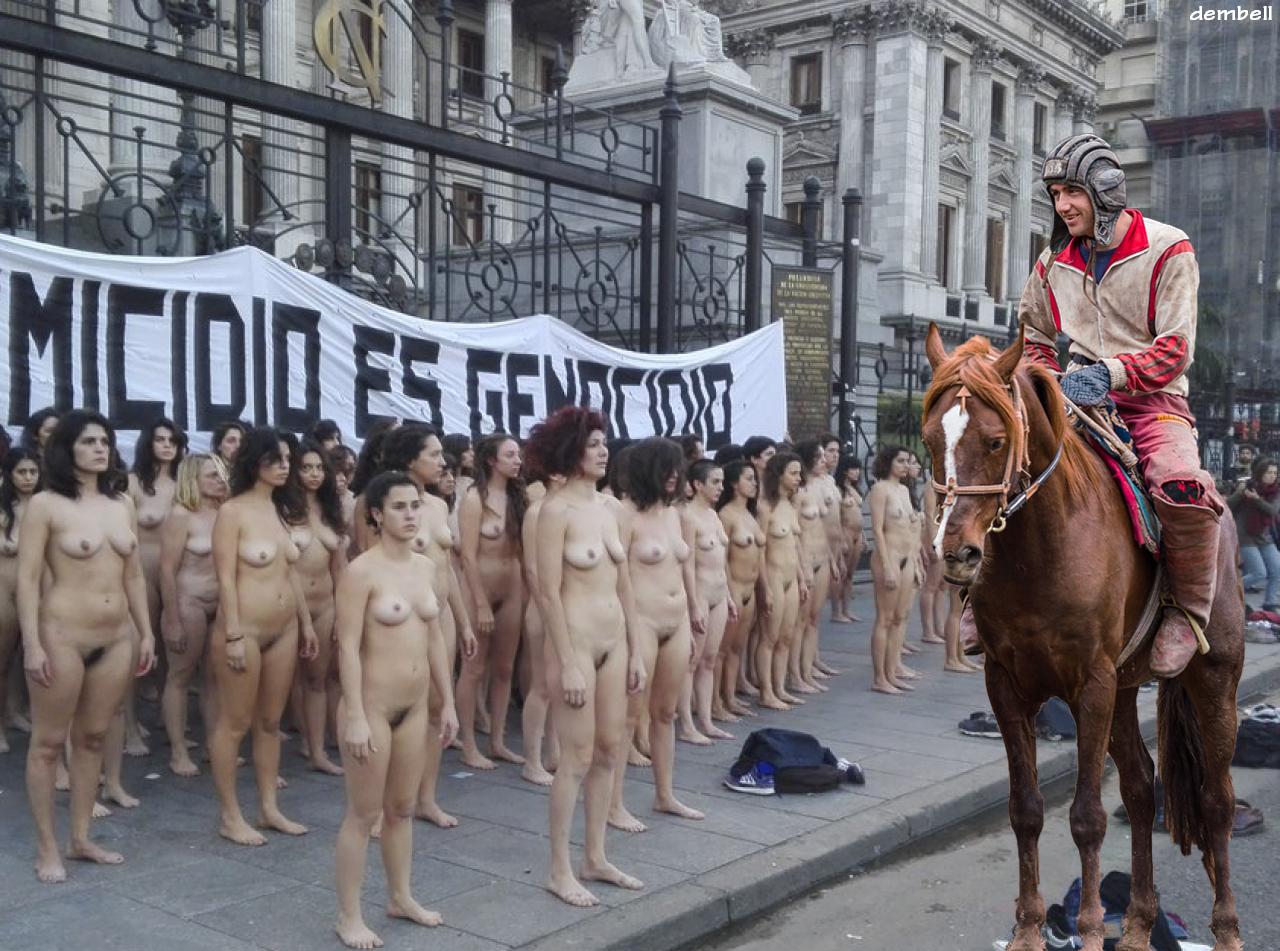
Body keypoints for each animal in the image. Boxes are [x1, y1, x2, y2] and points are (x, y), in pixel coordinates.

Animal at [919, 325, 1245, 951]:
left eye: (995, 441)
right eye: (928, 439)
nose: (955, 552)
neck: (1042, 547)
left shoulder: (1090, 685)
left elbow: (1088, 817)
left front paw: (1092, 930)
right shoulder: (1007, 686)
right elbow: (1026, 810)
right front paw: (1027, 930)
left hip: (1213, 679)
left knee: (1216, 801)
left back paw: (1226, 929)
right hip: (1125, 689)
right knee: (1141, 789)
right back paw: (1138, 926)